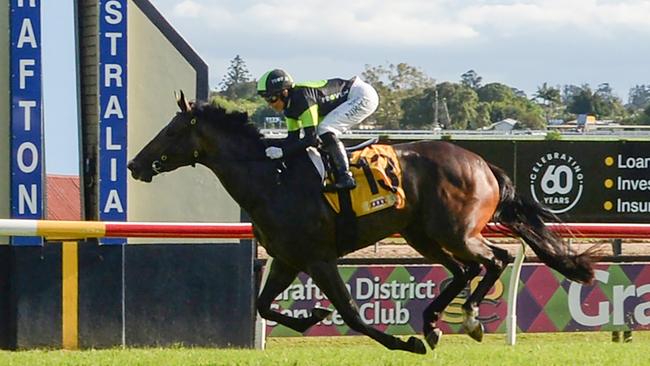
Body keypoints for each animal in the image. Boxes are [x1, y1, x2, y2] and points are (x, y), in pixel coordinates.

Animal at [128, 92, 592, 354]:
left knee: (493, 259)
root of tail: (483, 163)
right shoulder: (287, 259)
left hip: (456, 231)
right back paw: (434, 322)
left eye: (171, 131)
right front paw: (311, 316)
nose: (135, 164)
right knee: (464, 270)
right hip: (421, 233)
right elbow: (262, 304)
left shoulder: (318, 259)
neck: (272, 179)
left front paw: (402, 343)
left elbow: (351, 313)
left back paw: (469, 319)